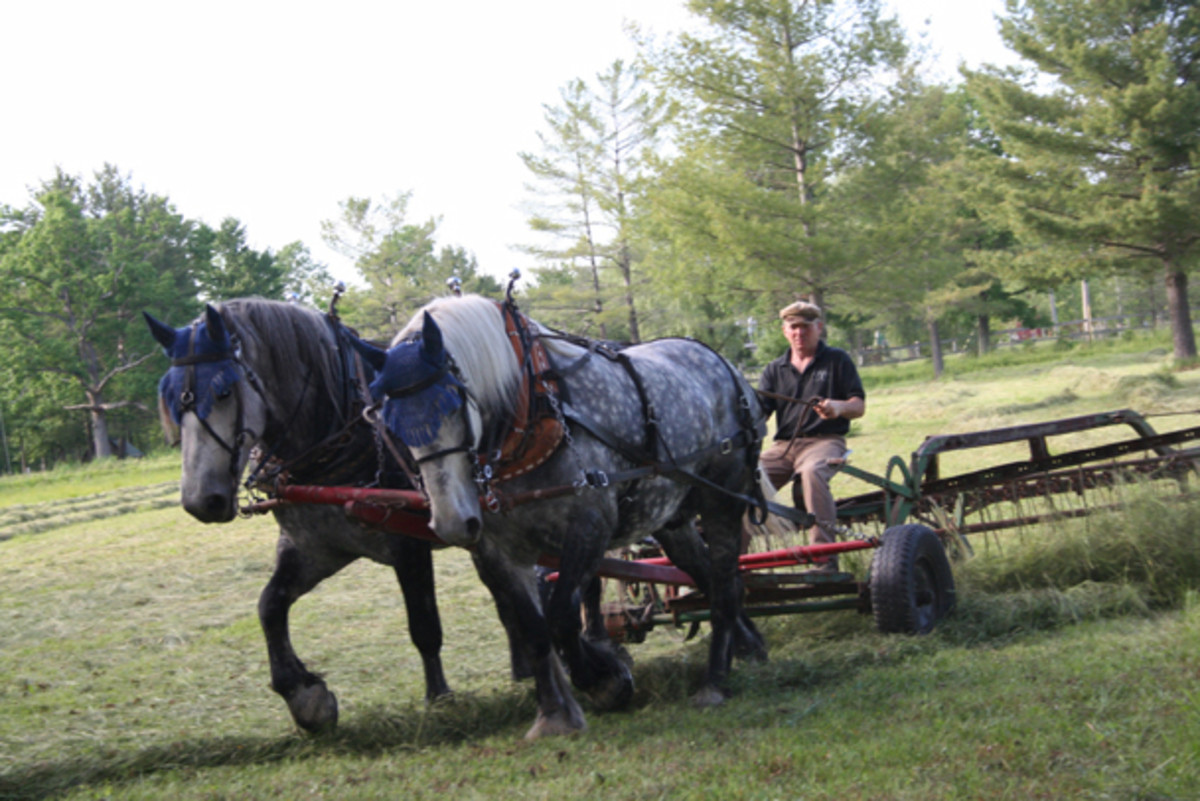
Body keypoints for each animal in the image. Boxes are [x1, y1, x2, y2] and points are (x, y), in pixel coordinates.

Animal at [143, 299, 453, 733]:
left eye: (223, 391)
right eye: (170, 397)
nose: (200, 501)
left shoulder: (408, 541)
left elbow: (424, 626)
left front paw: (440, 698)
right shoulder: (315, 547)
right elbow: (269, 605)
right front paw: (304, 695)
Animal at [349, 293, 769, 738]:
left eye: (453, 404)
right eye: (391, 424)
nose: (451, 521)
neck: (532, 414)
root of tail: (726, 366)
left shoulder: (589, 524)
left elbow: (563, 615)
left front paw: (604, 680)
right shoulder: (499, 550)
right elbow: (533, 629)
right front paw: (554, 714)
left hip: (723, 498)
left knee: (724, 586)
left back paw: (715, 682)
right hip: (673, 519)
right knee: (711, 577)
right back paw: (750, 647)